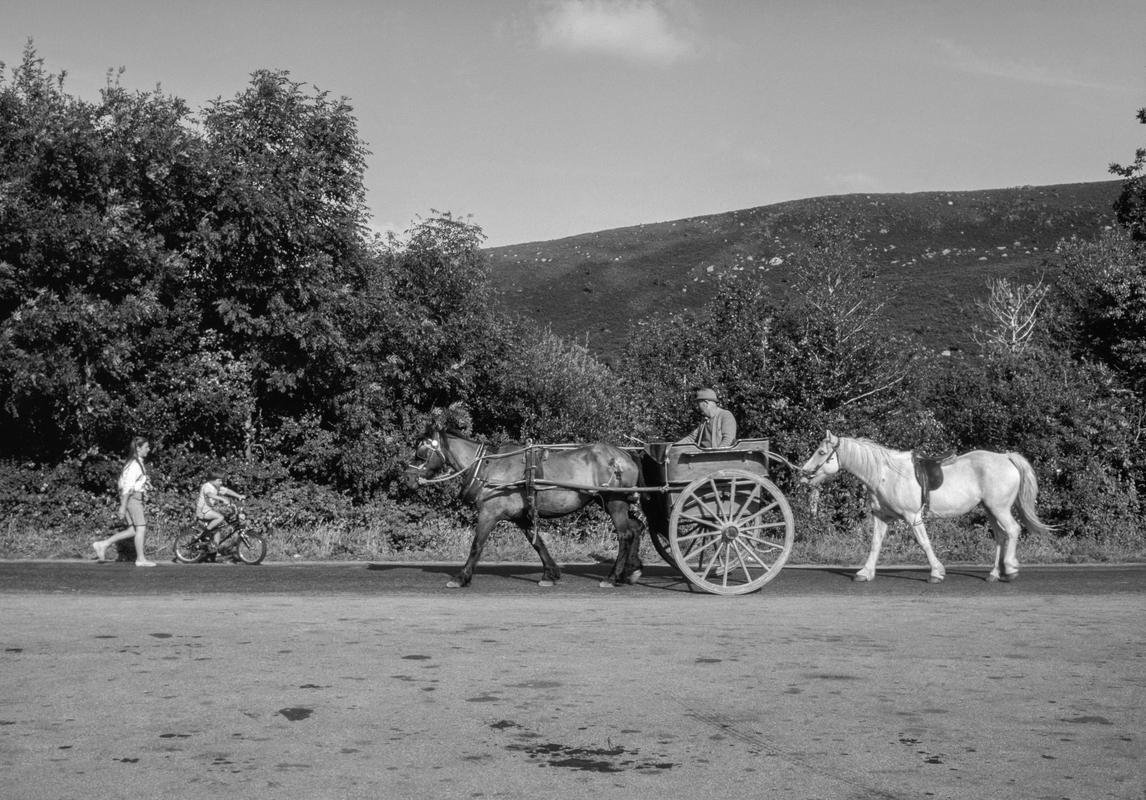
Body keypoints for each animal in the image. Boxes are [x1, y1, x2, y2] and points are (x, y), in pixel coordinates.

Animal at [410, 424, 646, 586]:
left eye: (421, 452)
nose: (409, 477)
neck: (486, 467)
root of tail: (625, 454)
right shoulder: (520, 516)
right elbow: (537, 542)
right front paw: (550, 573)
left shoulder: (489, 512)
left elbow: (477, 545)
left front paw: (461, 577)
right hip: (607, 501)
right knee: (636, 528)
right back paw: (631, 571)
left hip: (615, 501)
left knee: (625, 534)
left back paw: (613, 577)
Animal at [802, 430, 1049, 579]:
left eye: (821, 452)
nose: (804, 473)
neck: (885, 474)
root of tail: (1006, 457)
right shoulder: (882, 517)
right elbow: (875, 544)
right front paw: (865, 572)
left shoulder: (913, 517)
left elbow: (924, 543)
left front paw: (937, 572)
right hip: (990, 509)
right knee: (1000, 535)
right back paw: (994, 574)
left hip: (999, 508)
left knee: (1013, 530)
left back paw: (1011, 567)